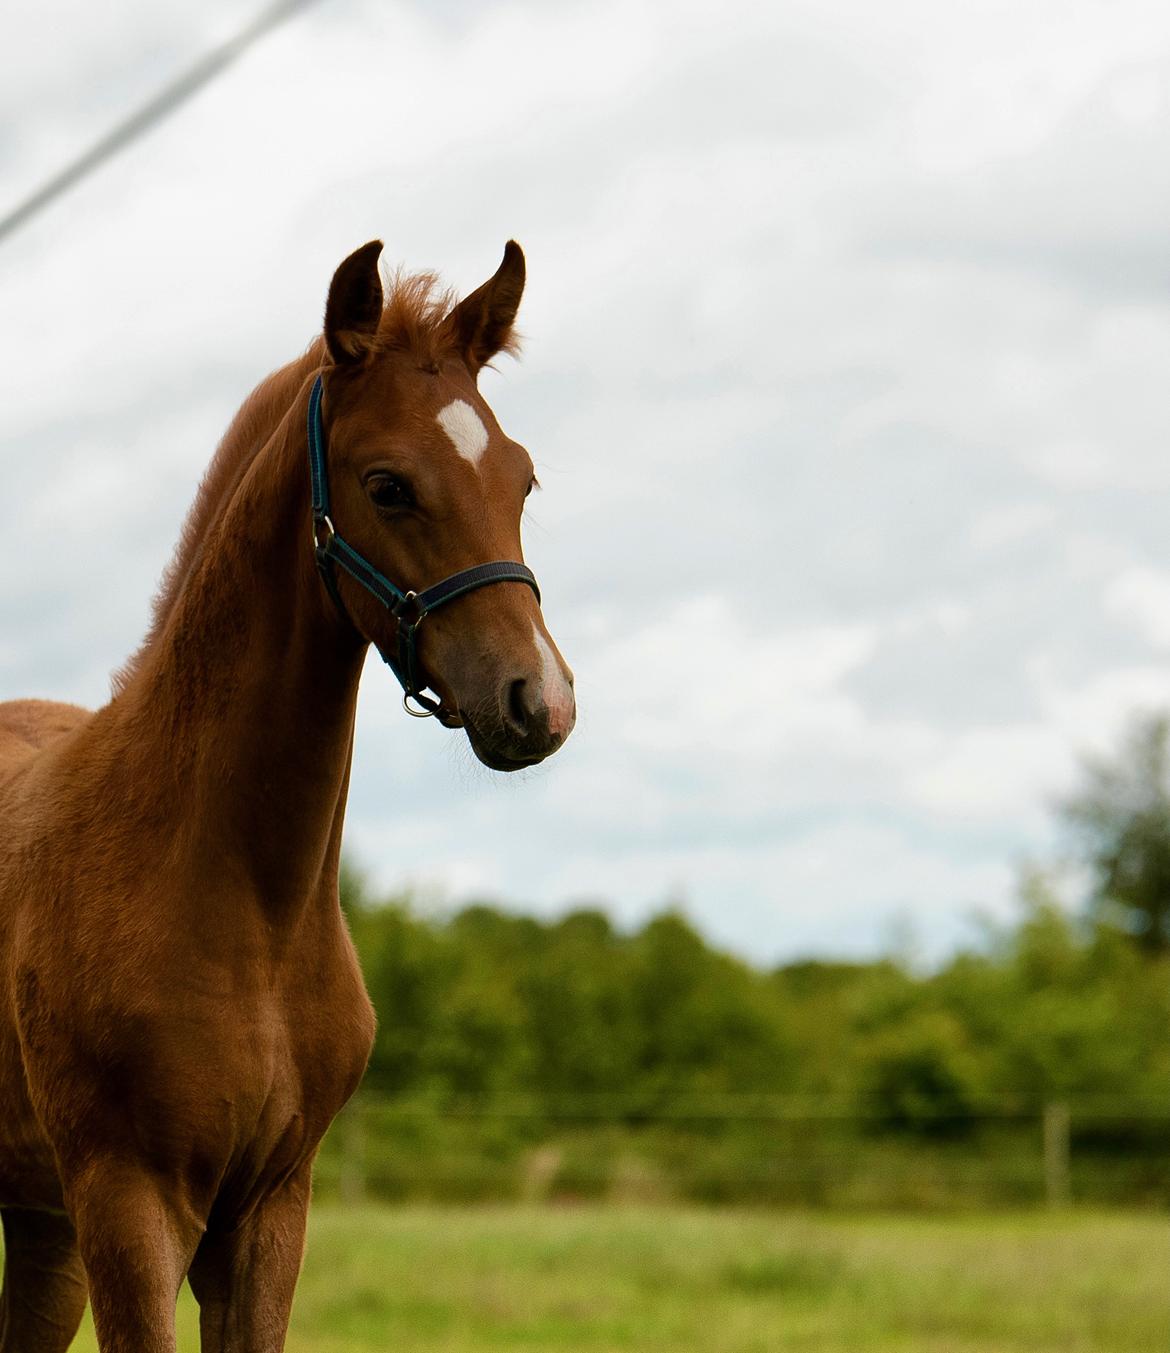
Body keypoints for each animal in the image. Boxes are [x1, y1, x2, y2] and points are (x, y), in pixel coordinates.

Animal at [0, 238, 576, 1347]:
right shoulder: (129, 1203)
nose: (538, 703)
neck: (245, 911)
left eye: (522, 479)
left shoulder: (271, 1211)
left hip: (43, 1227)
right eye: (387, 485)